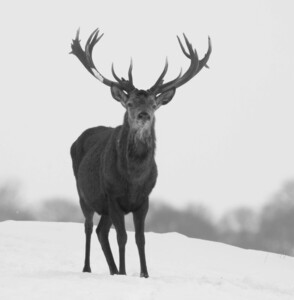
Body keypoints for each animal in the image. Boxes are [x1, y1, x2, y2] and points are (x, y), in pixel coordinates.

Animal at [70, 27, 210, 276]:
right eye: (130, 104)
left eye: (154, 105)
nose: (143, 115)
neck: (133, 178)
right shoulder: (113, 196)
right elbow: (122, 237)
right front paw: (125, 273)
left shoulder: (143, 199)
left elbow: (140, 239)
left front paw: (144, 274)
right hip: (84, 193)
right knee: (88, 226)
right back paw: (88, 268)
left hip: (104, 208)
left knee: (101, 232)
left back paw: (112, 270)